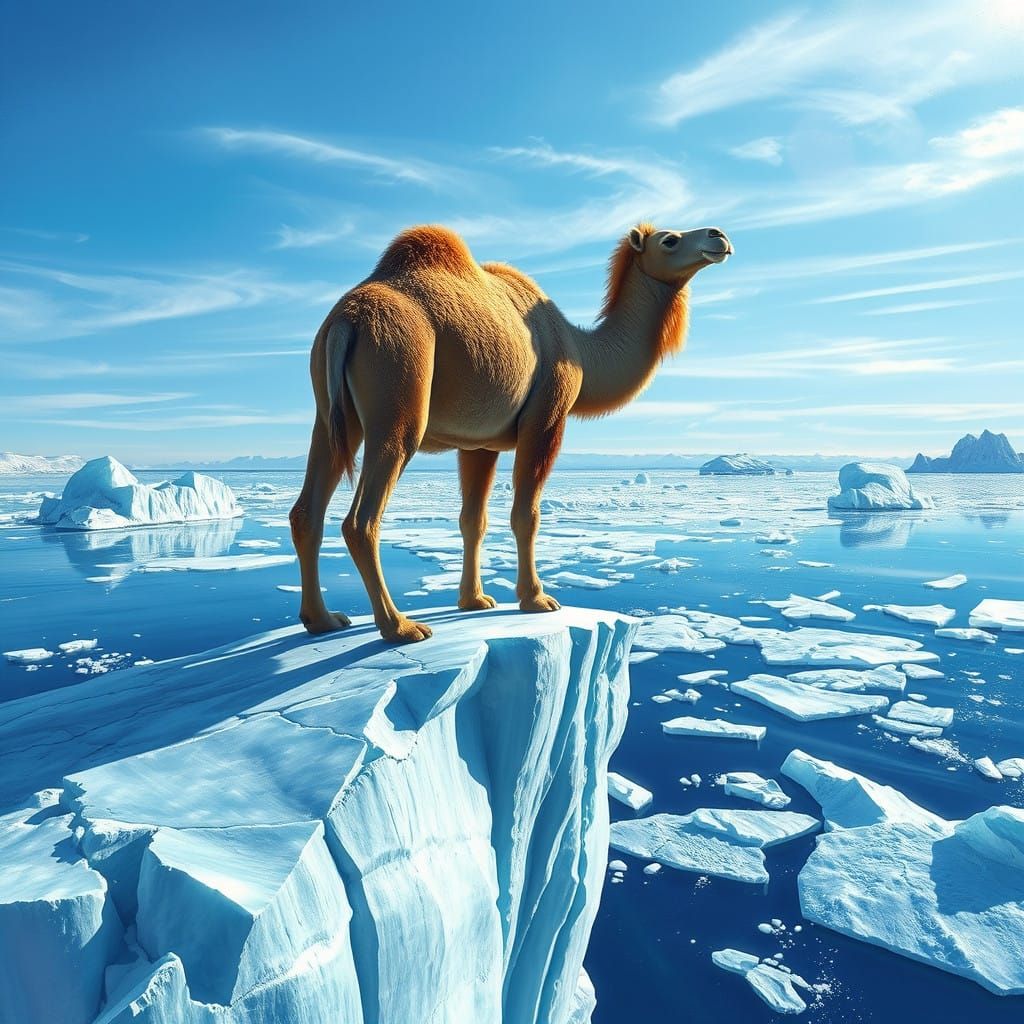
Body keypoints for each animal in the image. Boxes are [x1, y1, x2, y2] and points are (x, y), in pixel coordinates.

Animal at [289, 221, 733, 642]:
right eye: (670, 240)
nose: (719, 236)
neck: (580, 351)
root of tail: (347, 320)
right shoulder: (546, 418)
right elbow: (527, 514)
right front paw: (536, 599)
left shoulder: (479, 443)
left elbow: (473, 519)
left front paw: (474, 601)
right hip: (397, 390)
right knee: (362, 520)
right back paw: (400, 627)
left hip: (332, 413)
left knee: (307, 510)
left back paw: (323, 620)